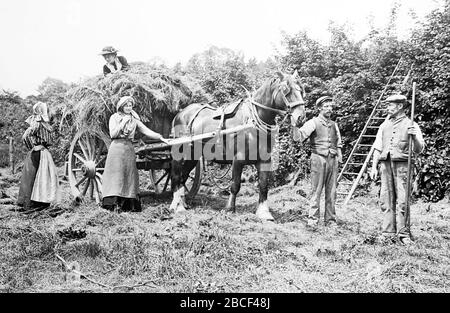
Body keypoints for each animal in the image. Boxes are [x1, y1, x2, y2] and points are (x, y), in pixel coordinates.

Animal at [169, 70, 306, 219]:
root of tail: (180, 114)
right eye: (286, 90)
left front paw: (264, 212)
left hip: (193, 155)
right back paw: (176, 206)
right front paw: (229, 208)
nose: (301, 117)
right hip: (180, 152)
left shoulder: (264, 160)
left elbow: (264, 185)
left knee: (183, 177)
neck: (252, 121)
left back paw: (183, 204)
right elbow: (235, 185)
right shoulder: (238, 159)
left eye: (301, 90)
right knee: (176, 176)